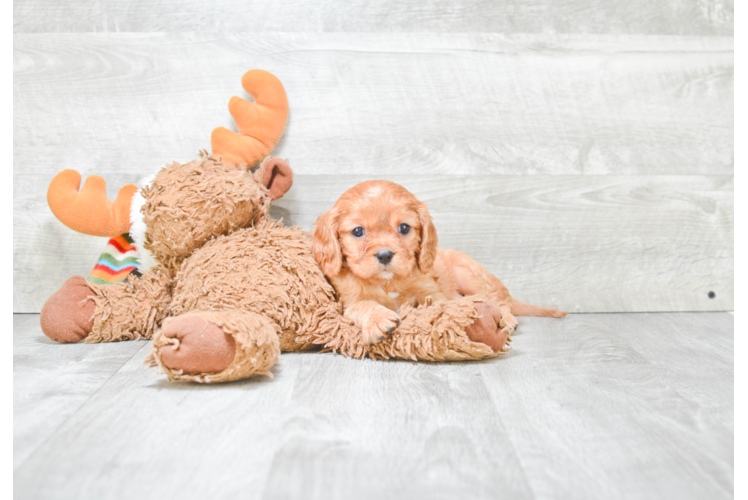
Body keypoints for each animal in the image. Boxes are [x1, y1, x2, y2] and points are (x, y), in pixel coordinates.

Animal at [312, 182, 568, 346]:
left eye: (404, 228)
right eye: (358, 231)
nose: (384, 255)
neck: (388, 283)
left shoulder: (430, 290)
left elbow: (438, 304)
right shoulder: (348, 301)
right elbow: (363, 305)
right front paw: (378, 320)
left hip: (468, 275)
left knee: (495, 300)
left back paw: (508, 318)